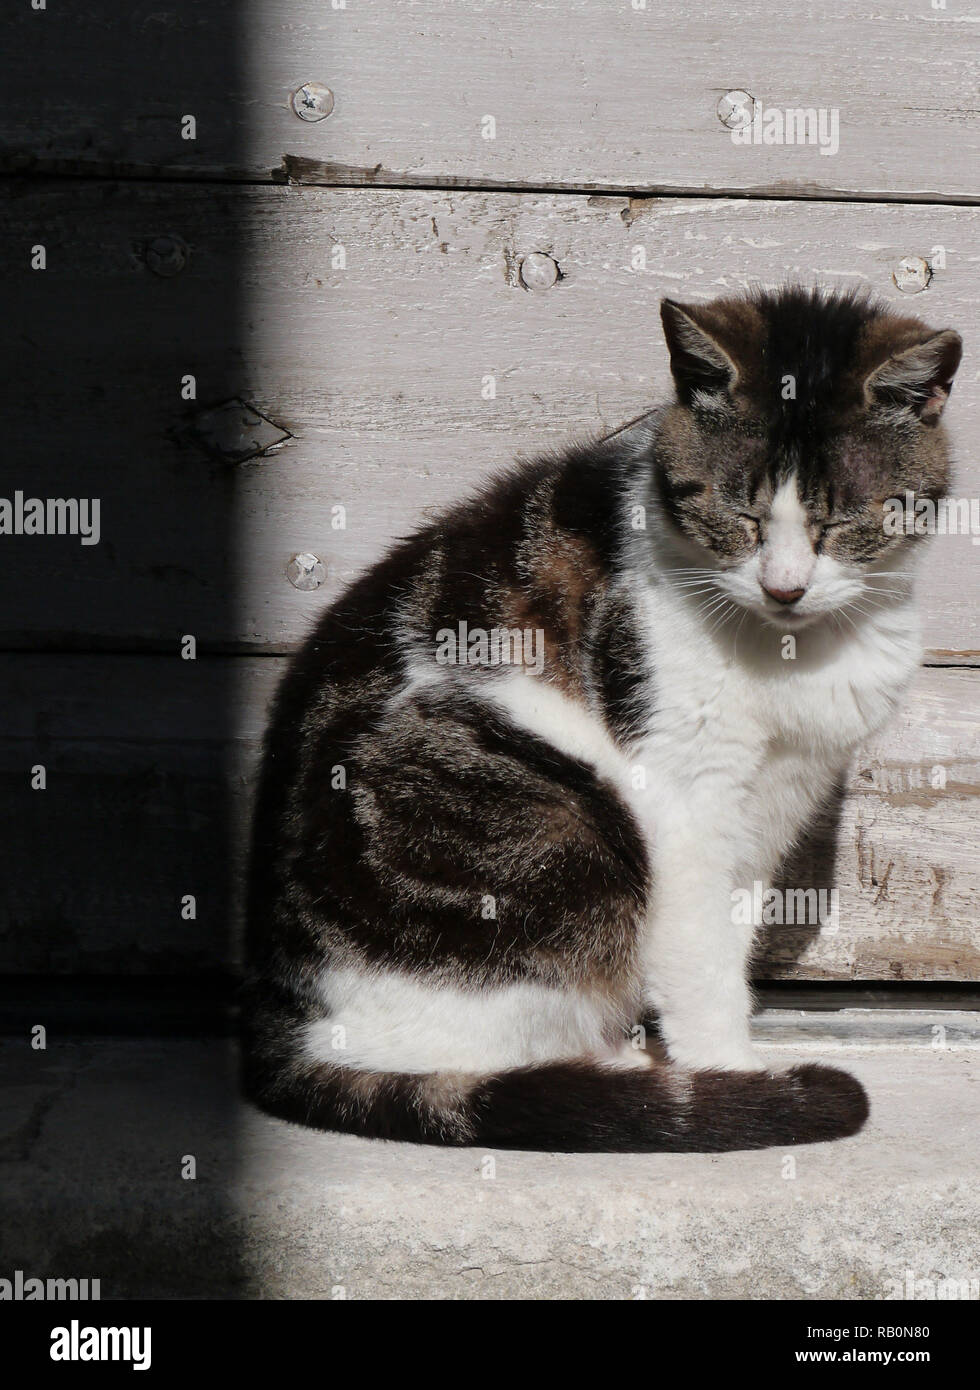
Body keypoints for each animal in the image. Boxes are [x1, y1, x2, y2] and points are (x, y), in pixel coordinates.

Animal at [240, 284, 961, 1150]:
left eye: (841, 522)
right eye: (741, 517)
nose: (784, 586)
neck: (801, 649)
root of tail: (281, 1026)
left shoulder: (773, 805)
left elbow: (733, 933)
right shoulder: (685, 801)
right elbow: (702, 963)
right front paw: (731, 1077)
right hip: (558, 821)